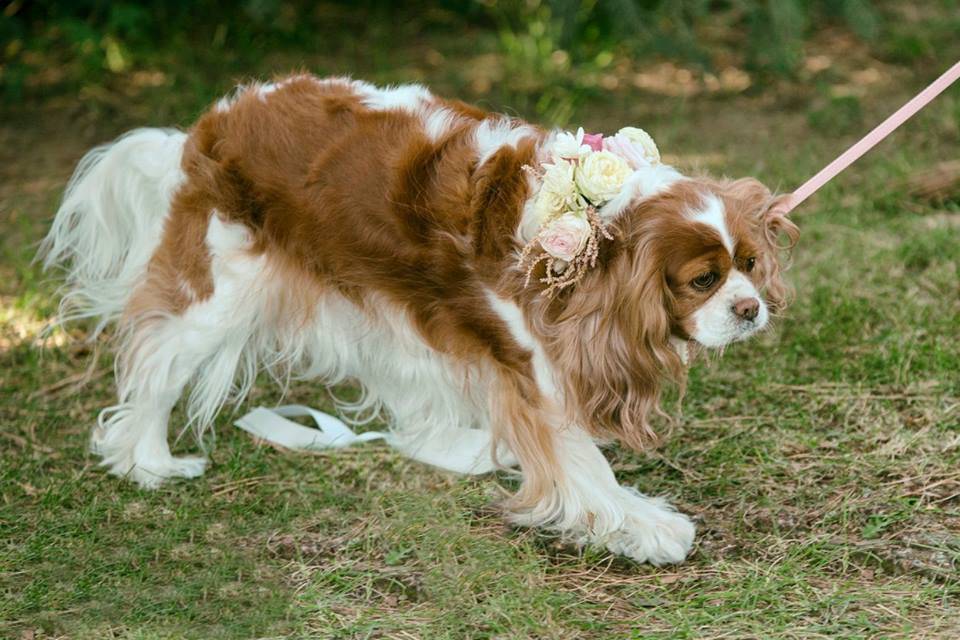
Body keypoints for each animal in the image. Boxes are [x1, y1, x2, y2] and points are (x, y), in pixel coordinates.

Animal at [41, 76, 800, 564]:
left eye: (749, 265)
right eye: (702, 281)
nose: (750, 309)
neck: (595, 235)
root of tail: (209, 125)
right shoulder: (534, 370)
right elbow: (581, 461)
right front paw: (641, 528)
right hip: (222, 288)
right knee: (158, 365)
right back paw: (146, 461)